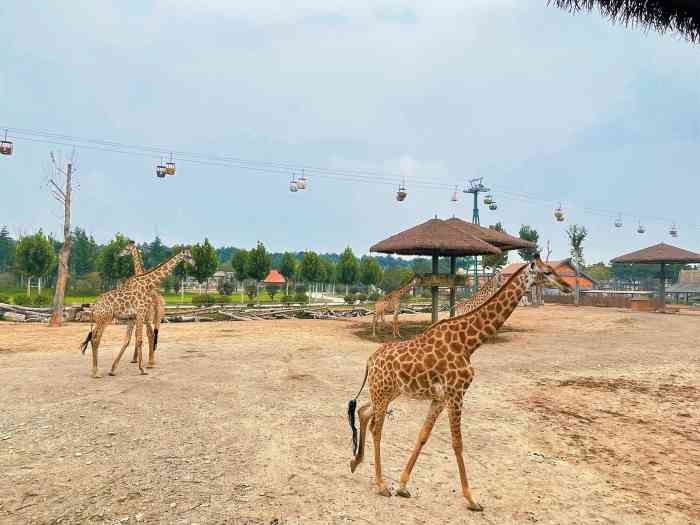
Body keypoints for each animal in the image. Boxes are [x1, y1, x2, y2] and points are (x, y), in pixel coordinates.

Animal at [348, 256, 572, 512]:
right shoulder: (456, 394)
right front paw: (472, 499)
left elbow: (423, 435)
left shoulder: (440, 398)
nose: (568, 286)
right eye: (547, 271)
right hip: (383, 392)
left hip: (387, 392)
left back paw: (356, 463)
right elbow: (457, 443)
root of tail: (370, 360)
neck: (468, 343)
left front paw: (403, 486)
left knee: (364, 411)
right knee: (377, 428)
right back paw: (381, 484)